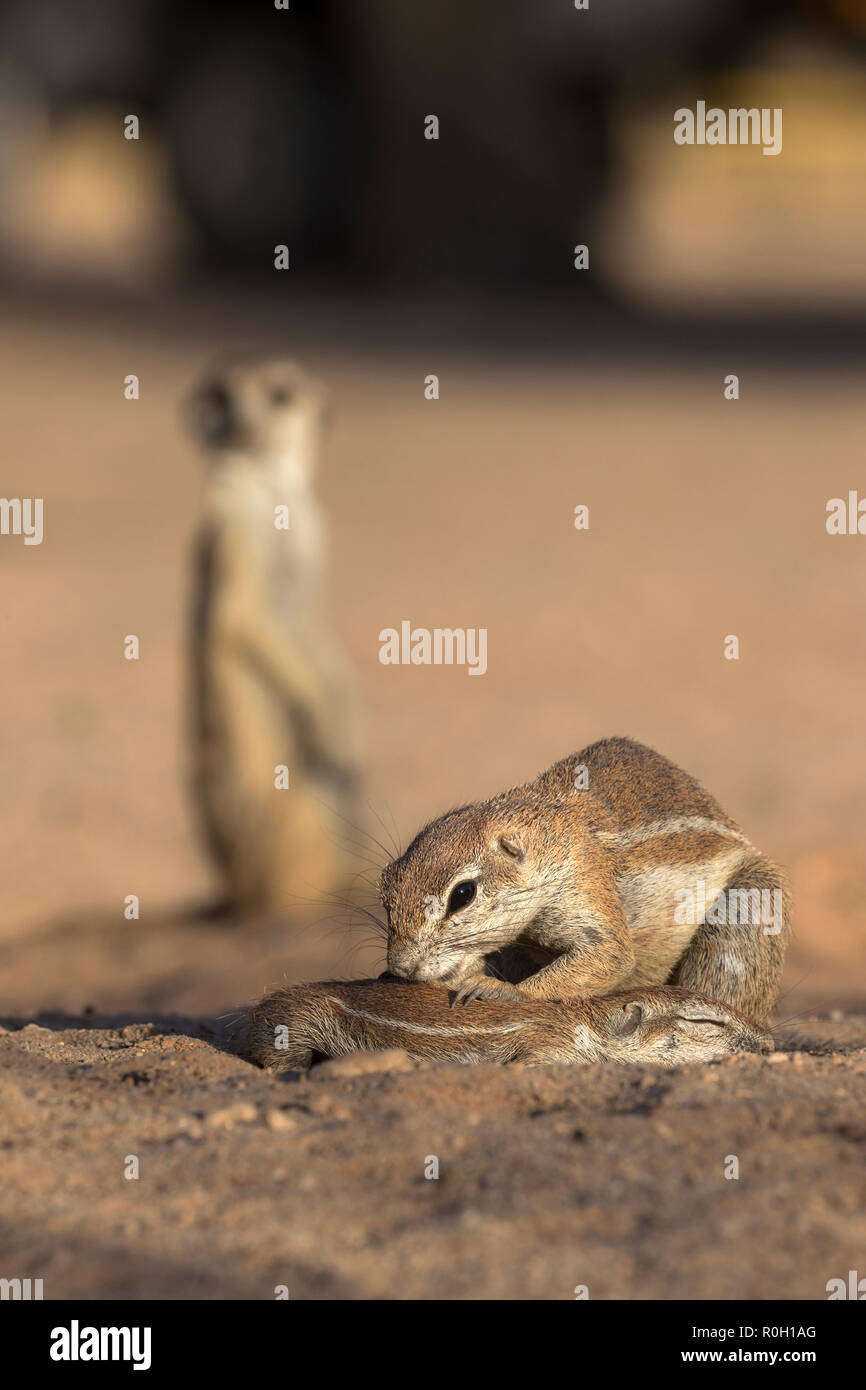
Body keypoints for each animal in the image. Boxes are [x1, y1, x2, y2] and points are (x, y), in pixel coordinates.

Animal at [187, 353, 364, 917]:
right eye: (221, 395)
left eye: (281, 393)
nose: (241, 420)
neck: (272, 492)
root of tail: (234, 888)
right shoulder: (233, 532)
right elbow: (242, 621)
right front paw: (326, 717)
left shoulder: (314, 536)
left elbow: (313, 625)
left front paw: (348, 712)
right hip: (284, 800)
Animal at [378, 739, 795, 1023]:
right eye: (386, 886)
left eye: (463, 894)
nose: (400, 967)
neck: (549, 841)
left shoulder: (584, 887)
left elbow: (608, 955)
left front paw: (501, 989)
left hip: (746, 913)